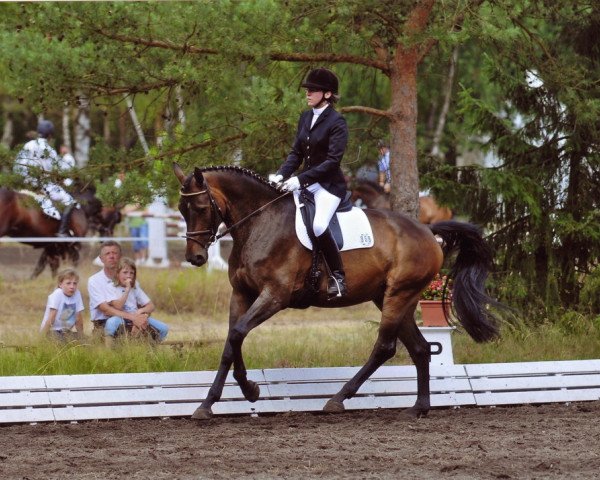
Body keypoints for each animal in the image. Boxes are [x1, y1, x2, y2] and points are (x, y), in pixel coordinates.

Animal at [175, 165, 502, 420]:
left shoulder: (274, 296)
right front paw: (210, 403)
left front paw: (249, 390)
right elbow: (231, 342)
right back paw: (419, 407)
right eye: (181, 209)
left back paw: (338, 399)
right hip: (393, 297)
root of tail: (427, 231)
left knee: (385, 347)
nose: (195, 258)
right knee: (420, 348)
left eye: (201, 208)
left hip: (399, 294)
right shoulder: (241, 295)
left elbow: (237, 334)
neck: (260, 223)